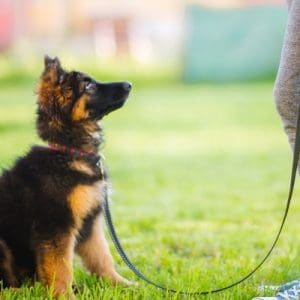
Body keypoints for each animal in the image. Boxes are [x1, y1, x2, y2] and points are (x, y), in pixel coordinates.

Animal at [0, 56, 132, 298]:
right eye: (88, 87)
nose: (129, 84)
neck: (69, 152)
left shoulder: (90, 222)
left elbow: (102, 257)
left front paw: (120, 284)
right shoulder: (55, 225)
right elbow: (60, 268)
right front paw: (64, 295)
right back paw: (18, 292)